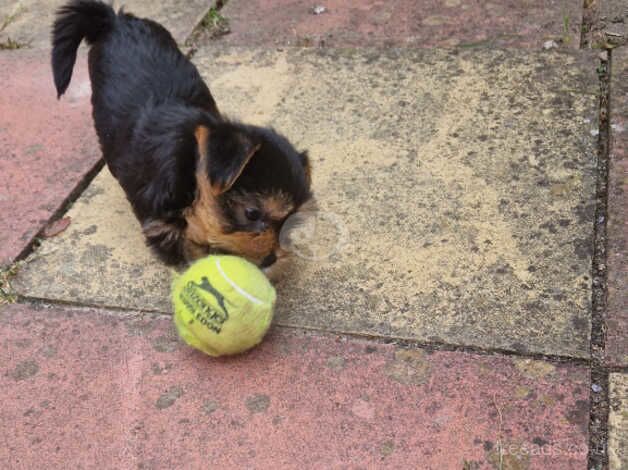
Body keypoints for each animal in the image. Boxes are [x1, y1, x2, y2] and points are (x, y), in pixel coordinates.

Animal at [51, 0, 312, 268]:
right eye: (252, 214)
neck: (190, 156)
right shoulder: (159, 219)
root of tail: (116, 19)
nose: (272, 259)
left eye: (290, 219)